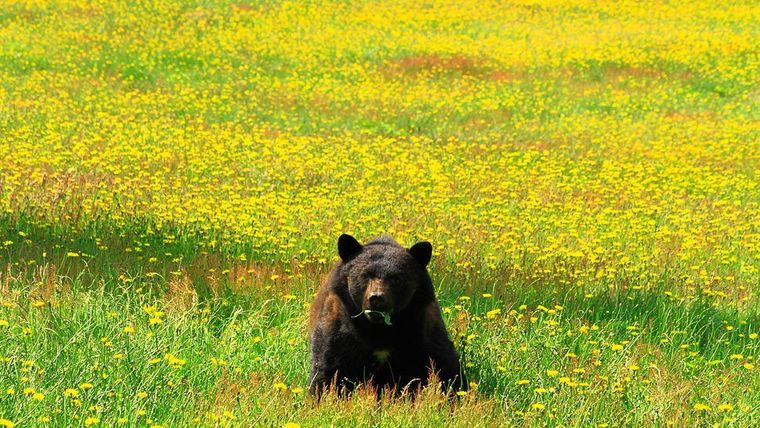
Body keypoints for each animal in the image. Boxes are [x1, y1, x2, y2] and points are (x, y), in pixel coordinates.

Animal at [308, 234, 464, 394]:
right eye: (366, 274)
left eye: (396, 278)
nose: (376, 298)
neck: (381, 329)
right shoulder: (340, 327)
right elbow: (328, 366)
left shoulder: (421, 328)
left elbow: (444, 364)